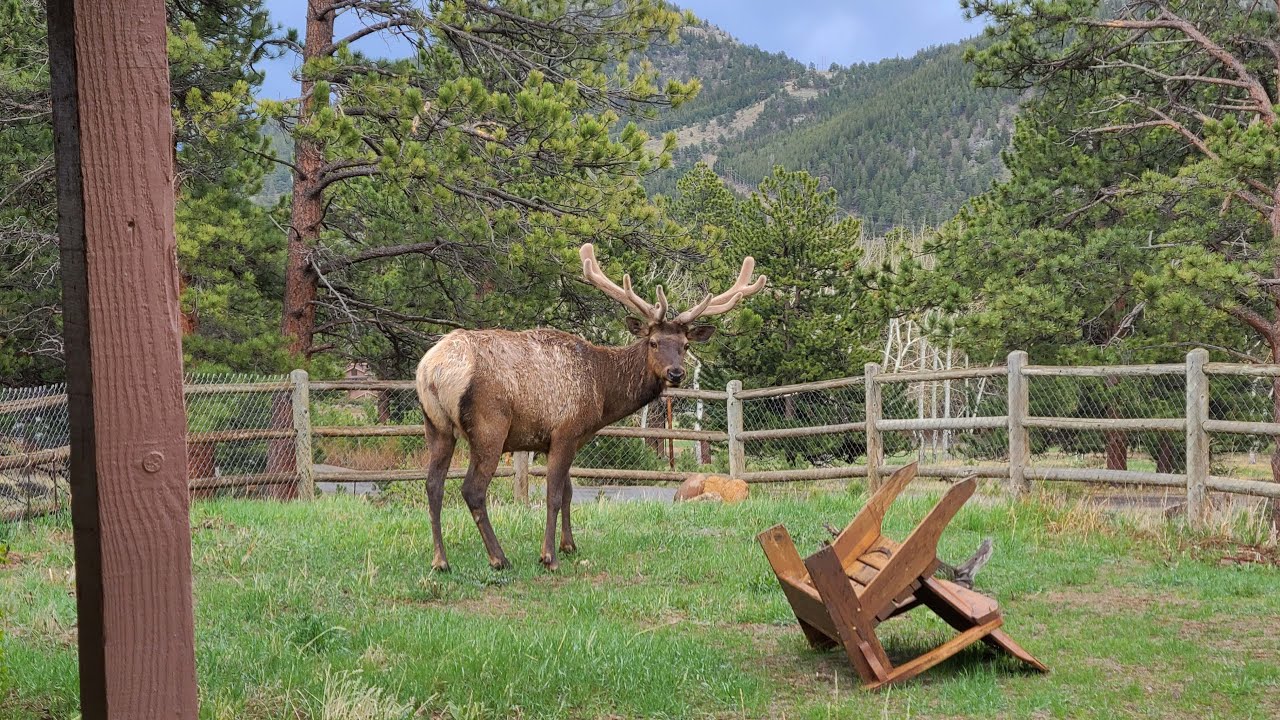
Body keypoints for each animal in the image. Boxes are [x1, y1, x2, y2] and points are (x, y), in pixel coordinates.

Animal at [414, 243, 766, 571]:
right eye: (653, 342)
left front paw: (570, 545)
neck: (602, 392)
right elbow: (554, 495)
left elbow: (569, 492)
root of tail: (433, 369)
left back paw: (440, 560)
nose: (676, 373)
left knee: (432, 485)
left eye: (685, 345)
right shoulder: (566, 430)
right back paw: (498, 558)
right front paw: (549, 556)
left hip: (436, 426)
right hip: (490, 425)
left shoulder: (562, 439)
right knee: (472, 489)